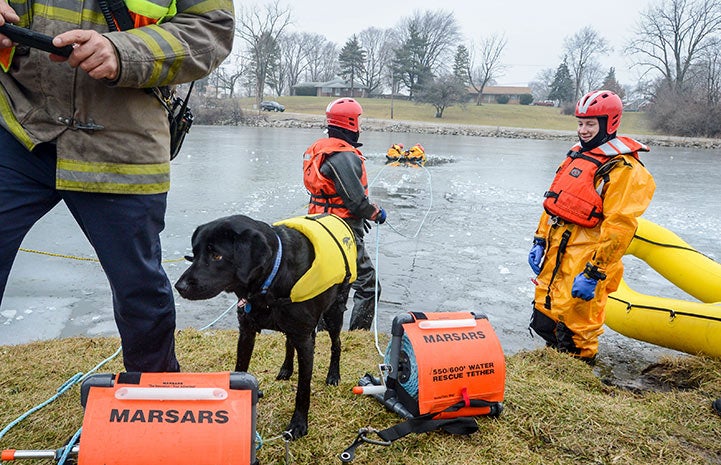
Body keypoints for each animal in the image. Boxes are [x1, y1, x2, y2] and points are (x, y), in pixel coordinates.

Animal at [175, 214, 354, 438]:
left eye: (216, 255)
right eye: (195, 254)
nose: (179, 287)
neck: (271, 281)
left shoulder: (304, 338)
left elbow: (303, 388)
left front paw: (298, 424)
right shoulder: (246, 332)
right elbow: (240, 370)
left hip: (333, 314)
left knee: (336, 344)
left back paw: (333, 375)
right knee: (289, 343)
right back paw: (286, 368)